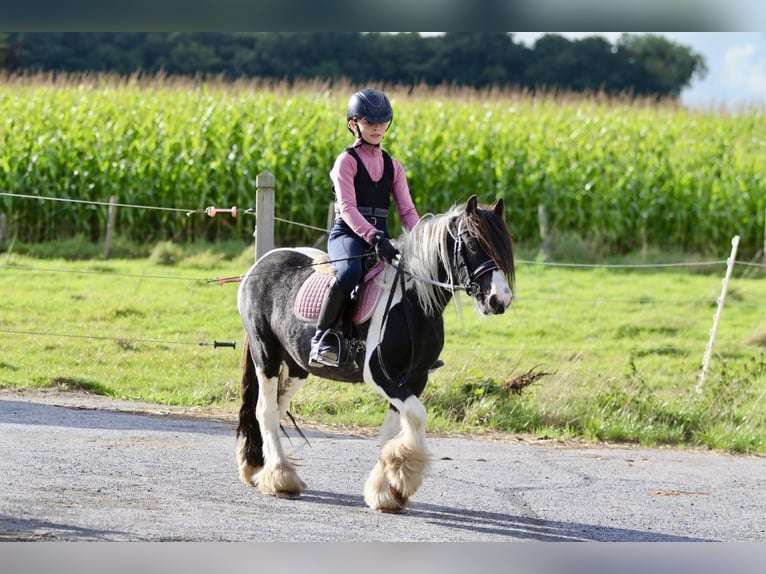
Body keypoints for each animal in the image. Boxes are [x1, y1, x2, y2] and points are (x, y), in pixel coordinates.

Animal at [237, 196, 520, 516]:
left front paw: (386, 489)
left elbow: (393, 429)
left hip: (297, 366)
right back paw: (280, 477)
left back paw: (261, 469)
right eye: (471, 242)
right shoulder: (381, 373)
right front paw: (404, 477)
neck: (413, 300)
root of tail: (261, 264)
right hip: (266, 354)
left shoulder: (414, 378)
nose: (499, 300)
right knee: (265, 410)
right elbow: (417, 417)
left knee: (277, 407)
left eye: (504, 245)